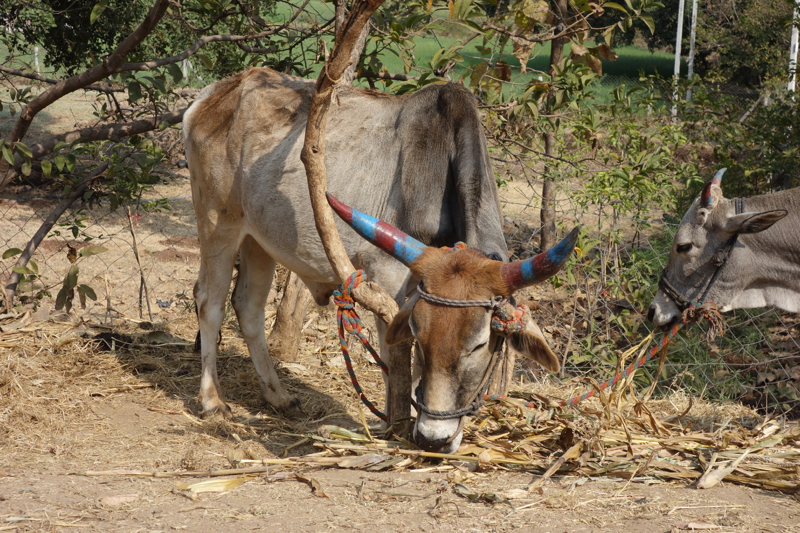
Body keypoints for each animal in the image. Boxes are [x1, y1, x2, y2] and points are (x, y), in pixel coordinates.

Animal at [182, 67, 578, 453]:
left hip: (259, 239)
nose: (434, 439)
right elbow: (395, 354)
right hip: (218, 221)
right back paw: (213, 401)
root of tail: (218, 92)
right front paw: (396, 423)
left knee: (248, 306)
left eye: (480, 344)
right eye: (421, 336)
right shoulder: (387, 277)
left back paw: (279, 397)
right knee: (210, 302)